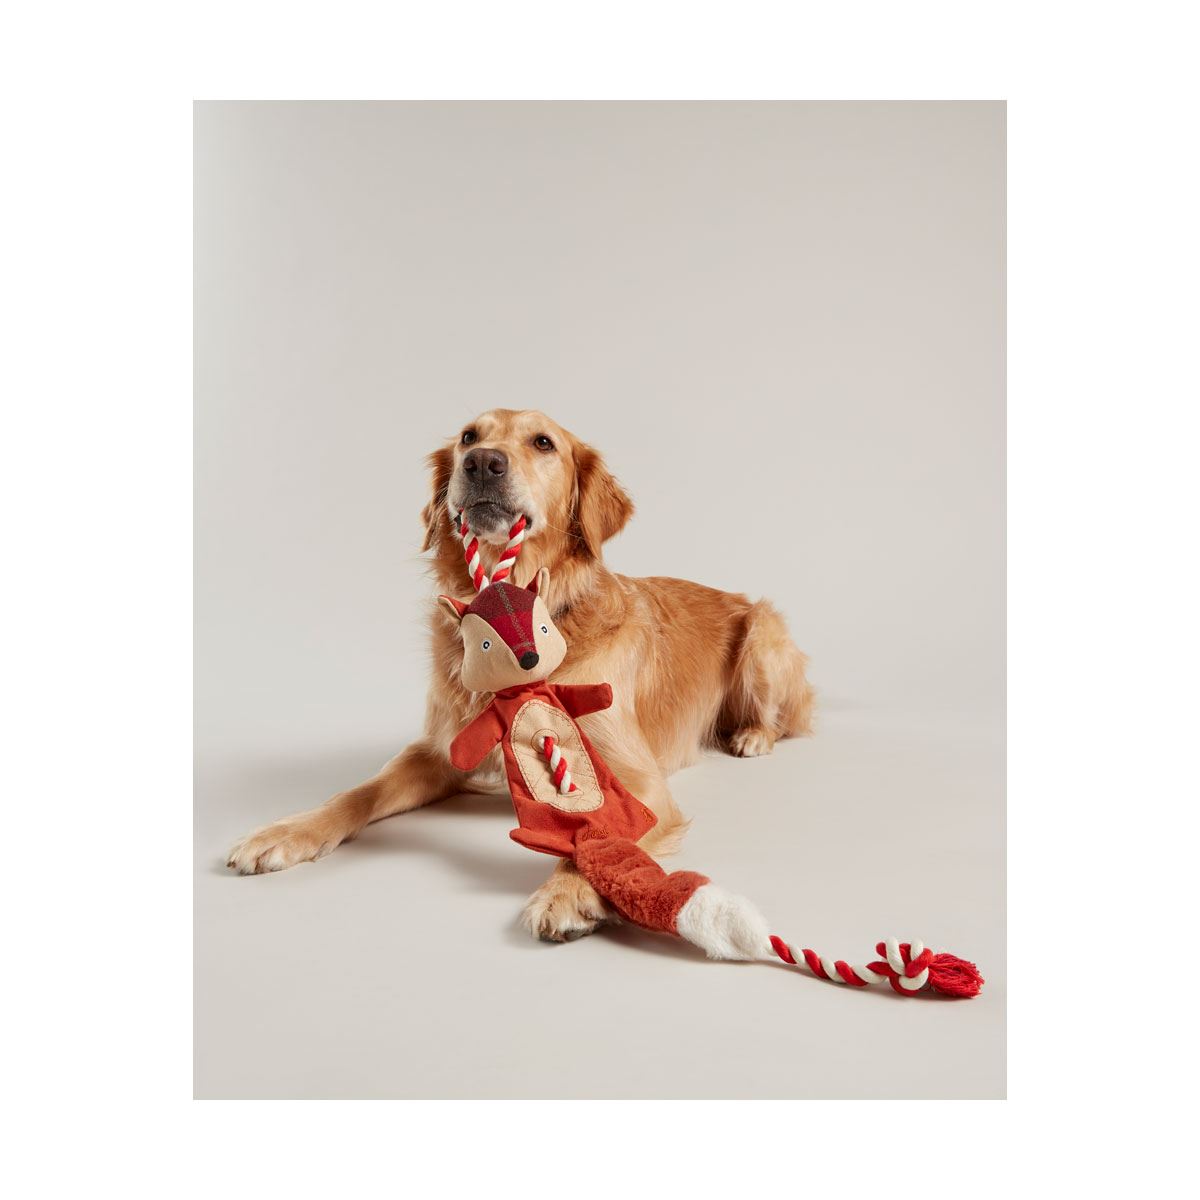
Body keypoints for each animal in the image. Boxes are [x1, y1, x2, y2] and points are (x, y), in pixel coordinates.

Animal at [227, 409, 815, 942]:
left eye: (543, 442)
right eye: (468, 437)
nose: (482, 463)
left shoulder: (635, 778)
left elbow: (604, 835)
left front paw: (566, 892)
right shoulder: (438, 750)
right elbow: (358, 792)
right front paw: (287, 831)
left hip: (761, 632)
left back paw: (751, 735)